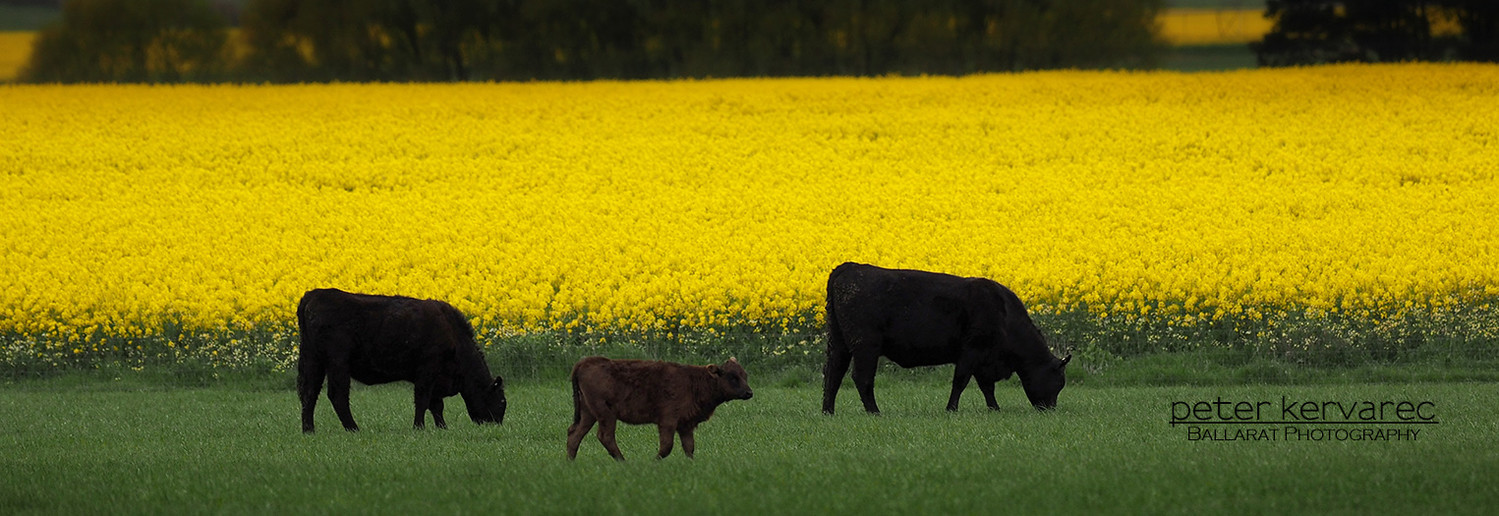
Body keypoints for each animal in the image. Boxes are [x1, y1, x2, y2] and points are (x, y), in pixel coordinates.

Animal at [295, 288, 506, 432]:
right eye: (502, 401)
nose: (497, 424)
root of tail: (313, 295)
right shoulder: (427, 371)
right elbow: (423, 400)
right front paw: (419, 427)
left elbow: (436, 405)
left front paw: (442, 428)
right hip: (337, 362)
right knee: (337, 395)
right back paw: (353, 428)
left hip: (313, 360)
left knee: (309, 393)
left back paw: (309, 431)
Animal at [563, 357, 749, 462]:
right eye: (733, 377)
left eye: (745, 375)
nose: (749, 392)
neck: (695, 382)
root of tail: (586, 362)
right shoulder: (667, 421)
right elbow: (667, 447)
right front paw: (654, 462)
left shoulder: (685, 425)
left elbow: (689, 447)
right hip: (605, 414)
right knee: (605, 436)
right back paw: (623, 462)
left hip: (588, 413)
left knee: (575, 433)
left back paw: (570, 462)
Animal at [821, 262, 1067, 414]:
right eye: (1058, 382)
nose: (1050, 409)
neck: (1004, 314)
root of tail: (849, 267)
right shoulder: (972, 351)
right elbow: (961, 381)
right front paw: (951, 409)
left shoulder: (982, 359)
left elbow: (986, 387)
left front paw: (994, 409)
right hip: (866, 346)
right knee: (861, 377)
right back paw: (874, 412)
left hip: (839, 343)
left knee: (833, 374)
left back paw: (828, 412)